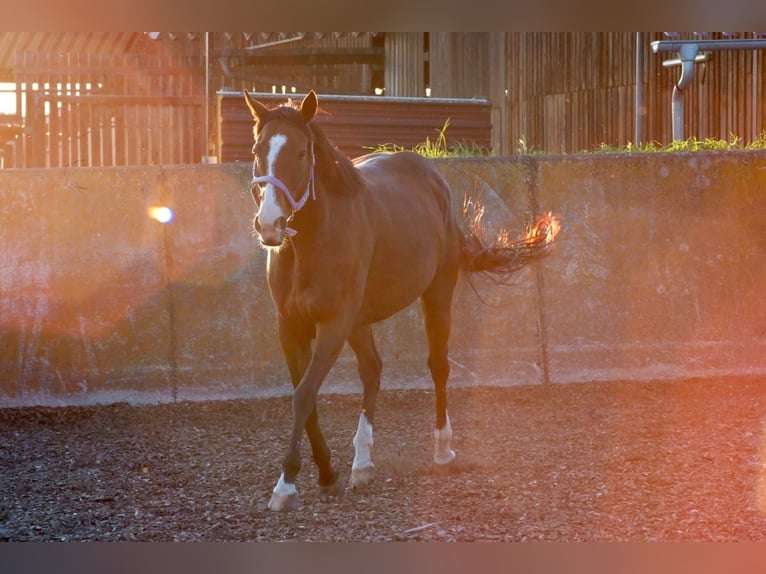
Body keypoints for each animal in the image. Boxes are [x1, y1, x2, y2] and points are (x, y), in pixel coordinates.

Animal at [243, 90, 560, 511]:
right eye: (258, 150)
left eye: (300, 152)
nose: (270, 225)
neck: (309, 243)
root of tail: (434, 179)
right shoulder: (290, 327)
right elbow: (304, 399)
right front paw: (327, 473)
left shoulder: (333, 324)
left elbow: (304, 395)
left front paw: (286, 485)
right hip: (361, 320)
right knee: (372, 370)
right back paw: (363, 464)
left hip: (436, 294)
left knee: (438, 365)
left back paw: (443, 450)